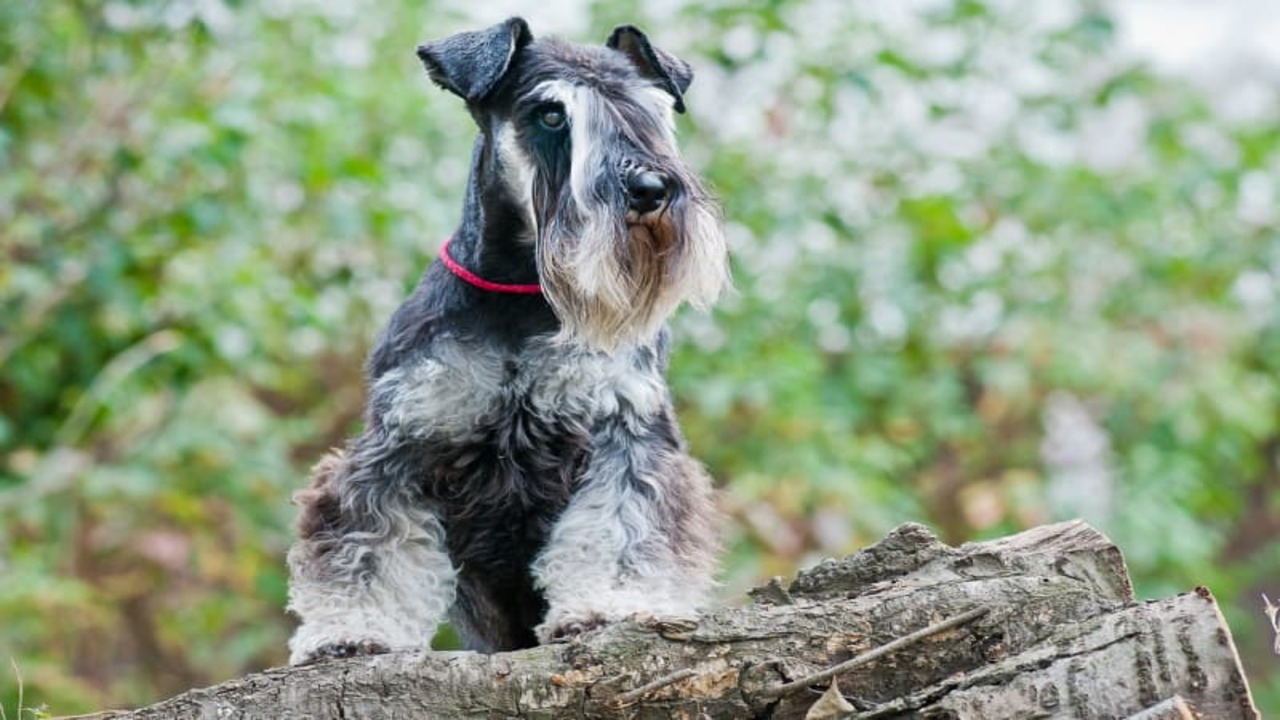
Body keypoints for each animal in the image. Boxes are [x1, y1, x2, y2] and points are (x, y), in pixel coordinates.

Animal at [289, 15, 732, 661]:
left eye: (653, 110)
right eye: (550, 114)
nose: (650, 189)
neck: (524, 292)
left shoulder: (625, 431)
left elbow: (622, 524)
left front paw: (610, 604)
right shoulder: (400, 440)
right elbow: (371, 541)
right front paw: (354, 630)